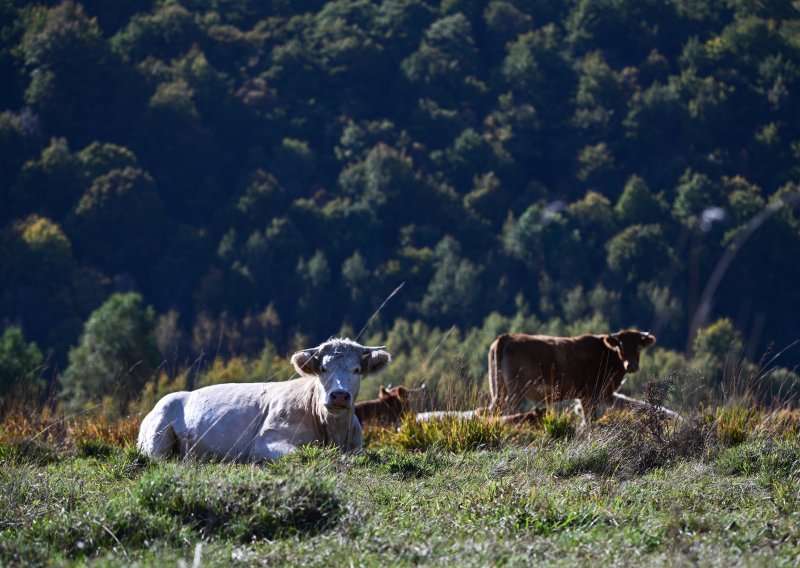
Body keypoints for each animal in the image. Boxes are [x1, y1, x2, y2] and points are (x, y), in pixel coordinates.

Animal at [138, 338, 394, 462]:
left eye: (357, 370)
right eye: (323, 368)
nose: (339, 395)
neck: (334, 433)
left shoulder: (357, 447)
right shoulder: (265, 439)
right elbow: (299, 452)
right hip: (156, 438)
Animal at [488, 328, 656, 418]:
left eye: (639, 347)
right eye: (620, 346)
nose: (631, 365)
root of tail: (508, 336)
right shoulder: (590, 395)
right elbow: (590, 420)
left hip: (498, 388)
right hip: (516, 390)